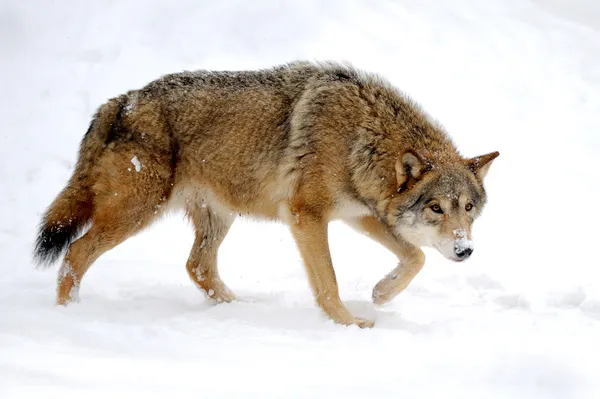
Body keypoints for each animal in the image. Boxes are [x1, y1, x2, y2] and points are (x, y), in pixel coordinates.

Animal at [35, 61, 500, 328]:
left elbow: (415, 256)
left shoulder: (359, 213)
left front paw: (381, 294)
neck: (362, 137)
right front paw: (349, 324)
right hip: (137, 212)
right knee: (75, 252)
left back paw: (239, 309)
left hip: (217, 217)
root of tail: (120, 101)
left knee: (197, 267)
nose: (465, 251)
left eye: (468, 208)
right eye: (436, 208)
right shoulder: (306, 216)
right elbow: (328, 283)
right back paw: (68, 315)